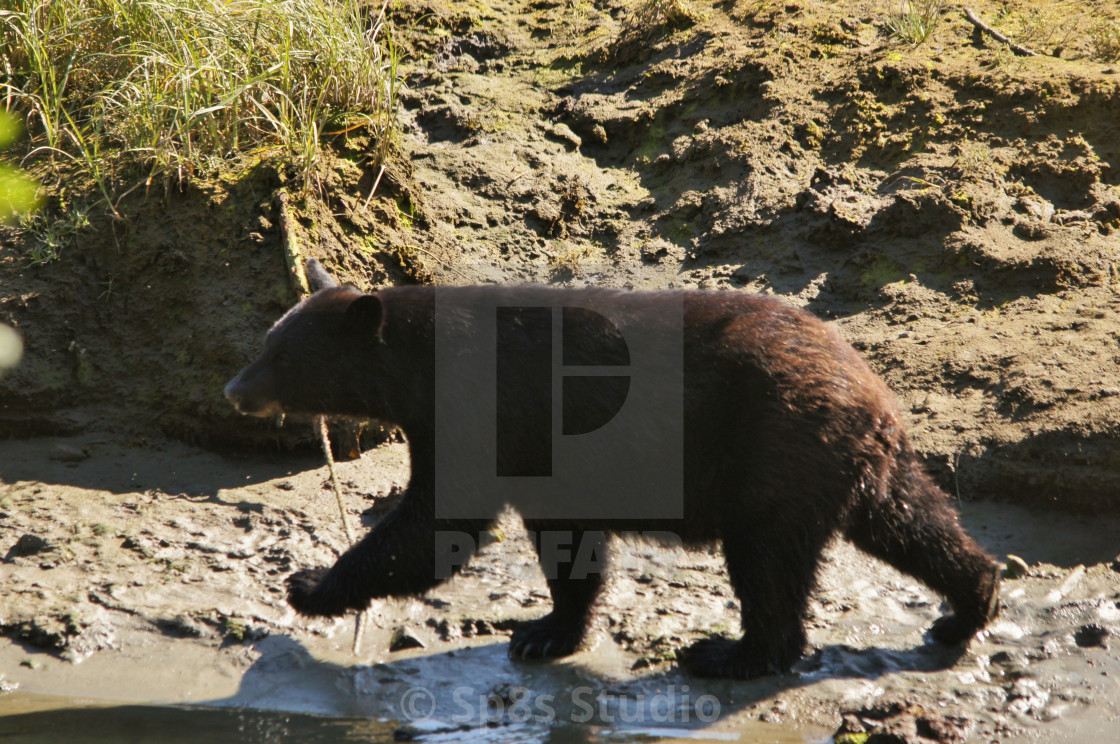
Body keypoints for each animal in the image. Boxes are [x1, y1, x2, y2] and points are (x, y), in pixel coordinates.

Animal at [225, 259, 999, 681]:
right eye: (264, 341)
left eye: (282, 355)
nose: (235, 390)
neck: (421, 361)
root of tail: (871, 387)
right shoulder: (544, 454)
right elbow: (567, 541)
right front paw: (547, 630)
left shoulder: (481, 412)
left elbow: (438, 523)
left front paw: (308, 583)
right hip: (851, 460)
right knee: (912, 522)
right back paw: (968, 606)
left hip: (774, 445)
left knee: (769, 561)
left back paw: (730, 653)